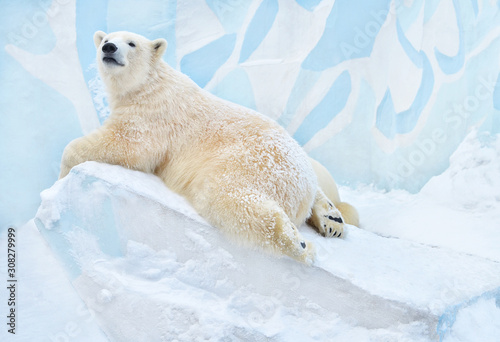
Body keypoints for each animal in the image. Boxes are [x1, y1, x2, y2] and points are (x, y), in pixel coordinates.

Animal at [59, 30, 360, 264]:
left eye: (131, 43)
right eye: (105, 38)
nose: (108, 47)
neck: (150, 84)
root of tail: (301, 186)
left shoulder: (153, 116)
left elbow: (126, 145)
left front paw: (62, 175)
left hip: (251, 164)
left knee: (230, 198)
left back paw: (299, 245)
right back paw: (331, 219)